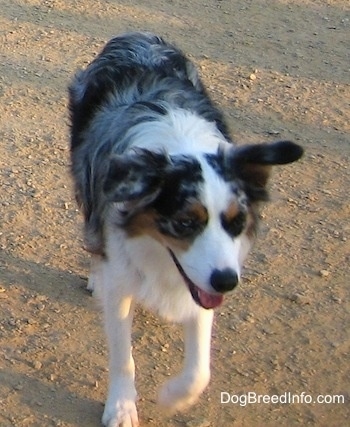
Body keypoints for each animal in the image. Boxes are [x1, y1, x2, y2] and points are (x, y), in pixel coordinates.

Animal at [69, 31, 304, 426]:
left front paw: (173, 396)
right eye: (184, 223)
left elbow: (200, 369)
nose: (227, 282)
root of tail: (136, 35)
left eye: (236, 222)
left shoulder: (206, 277)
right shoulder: (122, 275)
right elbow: (123, 357)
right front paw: (121, 407)